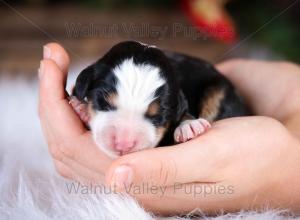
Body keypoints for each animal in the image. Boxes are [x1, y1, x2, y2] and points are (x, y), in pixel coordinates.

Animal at [69, 40, 248, 158]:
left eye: (157, 116)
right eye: (104, 102)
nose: (123, 144)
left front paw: (189, 126)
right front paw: (81, 107)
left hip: (218, 92)